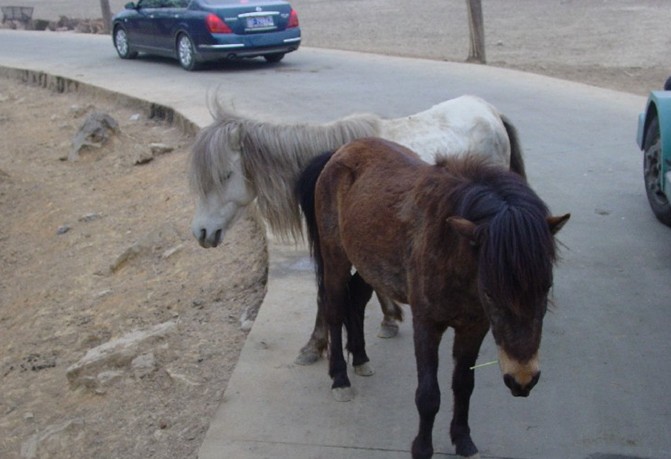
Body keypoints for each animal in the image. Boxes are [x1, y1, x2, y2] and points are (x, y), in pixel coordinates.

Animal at [188, 95, 527, 365]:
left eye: (225, 174)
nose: (201, 232)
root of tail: (489, 110)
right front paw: (389, 318)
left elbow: (326, 292)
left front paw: (314, 346)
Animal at [296, 137, 569, 459]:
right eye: (490, 291)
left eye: (546, 286)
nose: (523, 380)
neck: (449, 246)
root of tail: (340, 151)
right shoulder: (427, 324)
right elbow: (428, 395)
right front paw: (422, 448)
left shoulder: (474, 327)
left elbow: (463, 384)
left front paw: (463, 441)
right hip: (335, 257)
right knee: (334, 308)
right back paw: (340, 378)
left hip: (368, 264)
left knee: (357, 299)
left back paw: (361, 358)